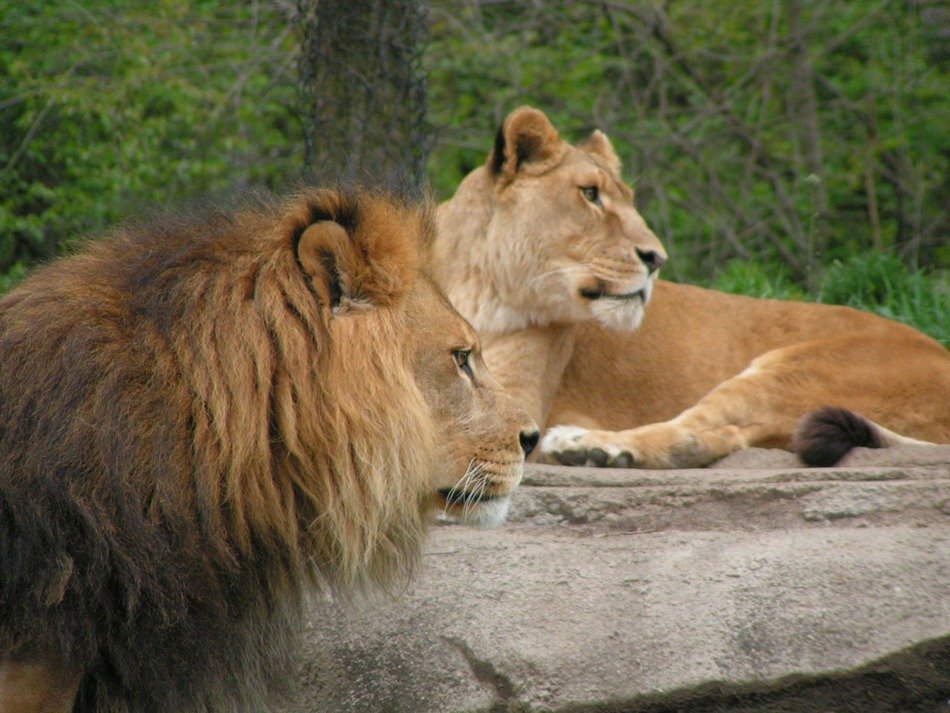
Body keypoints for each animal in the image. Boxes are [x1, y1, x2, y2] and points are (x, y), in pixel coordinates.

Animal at [433, 106, 949, 469]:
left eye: (627, 199)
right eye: (590, 194)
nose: (656, 258)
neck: (475, 284)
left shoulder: (520, 403)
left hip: (802, 368)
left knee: (699, 433)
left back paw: (593, 449)